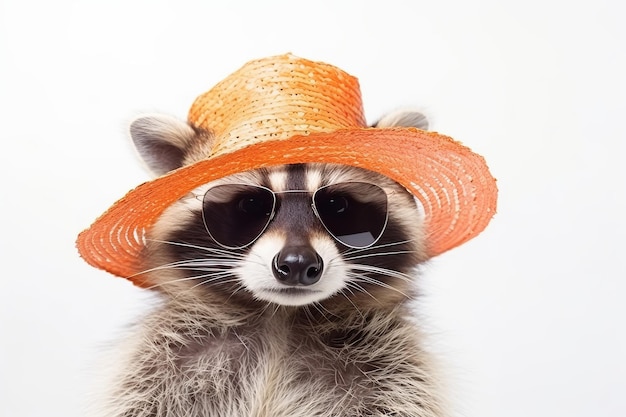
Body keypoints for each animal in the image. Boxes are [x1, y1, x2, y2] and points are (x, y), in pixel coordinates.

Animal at [94, 110, 444, 416]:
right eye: (251, 205)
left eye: (336, 205)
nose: (298, 264)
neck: (279, 316)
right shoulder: (161, 363)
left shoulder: (392, 370)